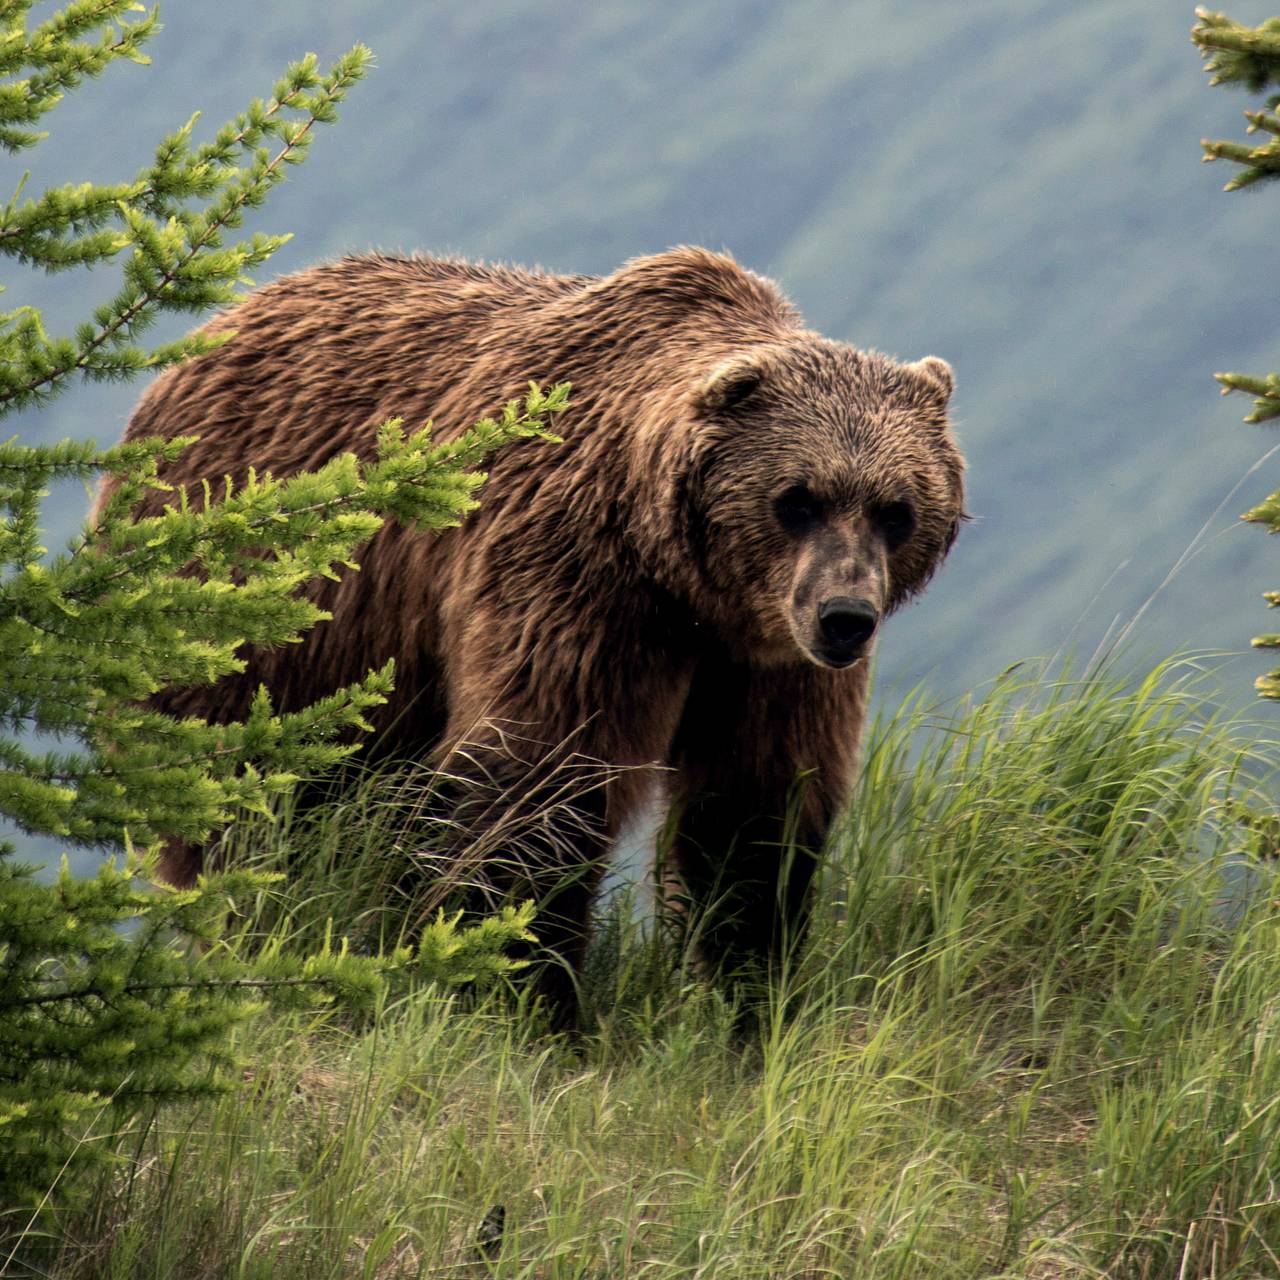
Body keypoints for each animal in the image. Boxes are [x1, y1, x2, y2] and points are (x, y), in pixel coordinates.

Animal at [97, 247, 962, 1029]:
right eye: (797, 499)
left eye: (896, 509)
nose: (845, 616)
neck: (683, 582)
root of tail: (211, 330)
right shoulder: (575, 578)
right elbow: (538, 779)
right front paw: (524, 997)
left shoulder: (766, 659)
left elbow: (754, 809)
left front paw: (746, 995)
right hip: (262, 617)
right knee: (256, 805)